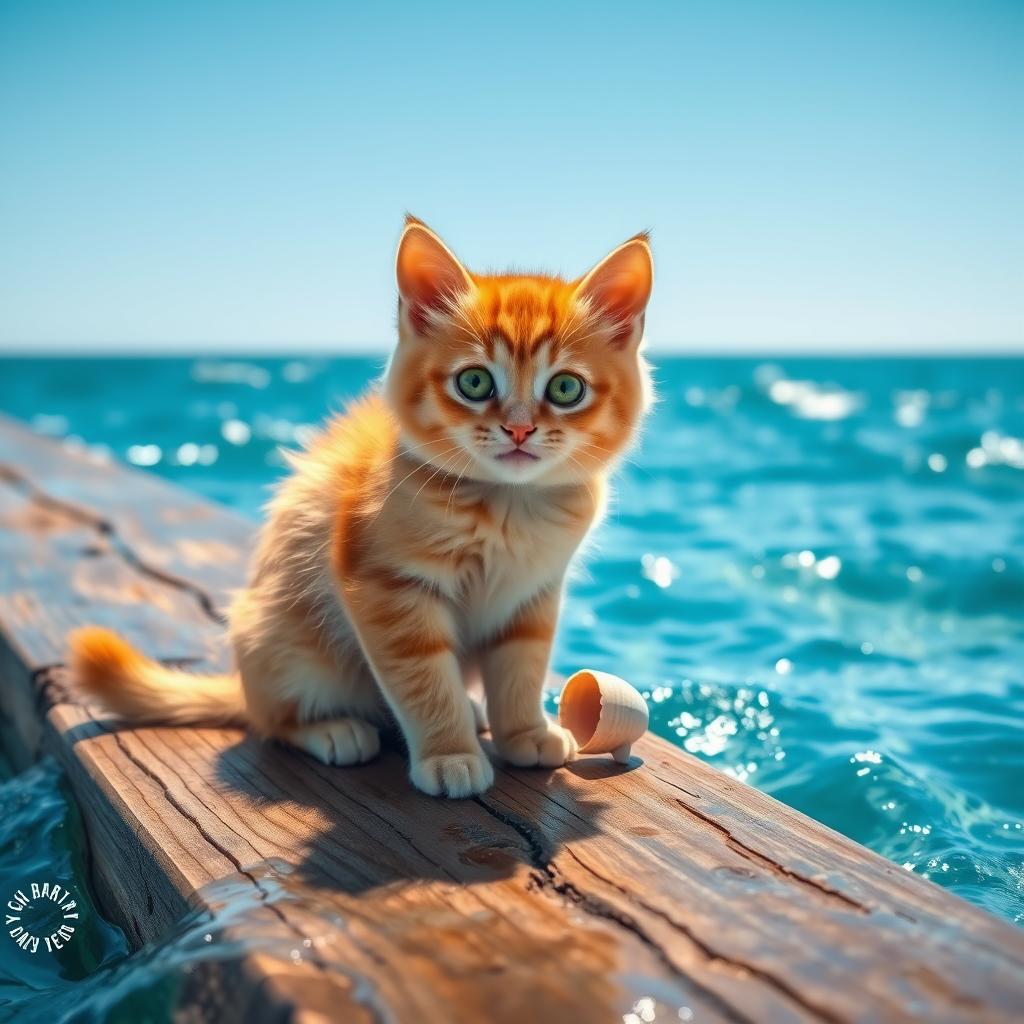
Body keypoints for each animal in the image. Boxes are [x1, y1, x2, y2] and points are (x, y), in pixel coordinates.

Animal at [70, 218, 655, 798]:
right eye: (474, 382)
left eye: (565, 388)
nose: (519, 428)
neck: (506, 503)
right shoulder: (384, 587)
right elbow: (424, 679)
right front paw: (450, 754)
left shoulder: (533, 593)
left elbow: (522, 666)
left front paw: (524, 732)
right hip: (283, 645)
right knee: (273, 720)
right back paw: (334, 729)